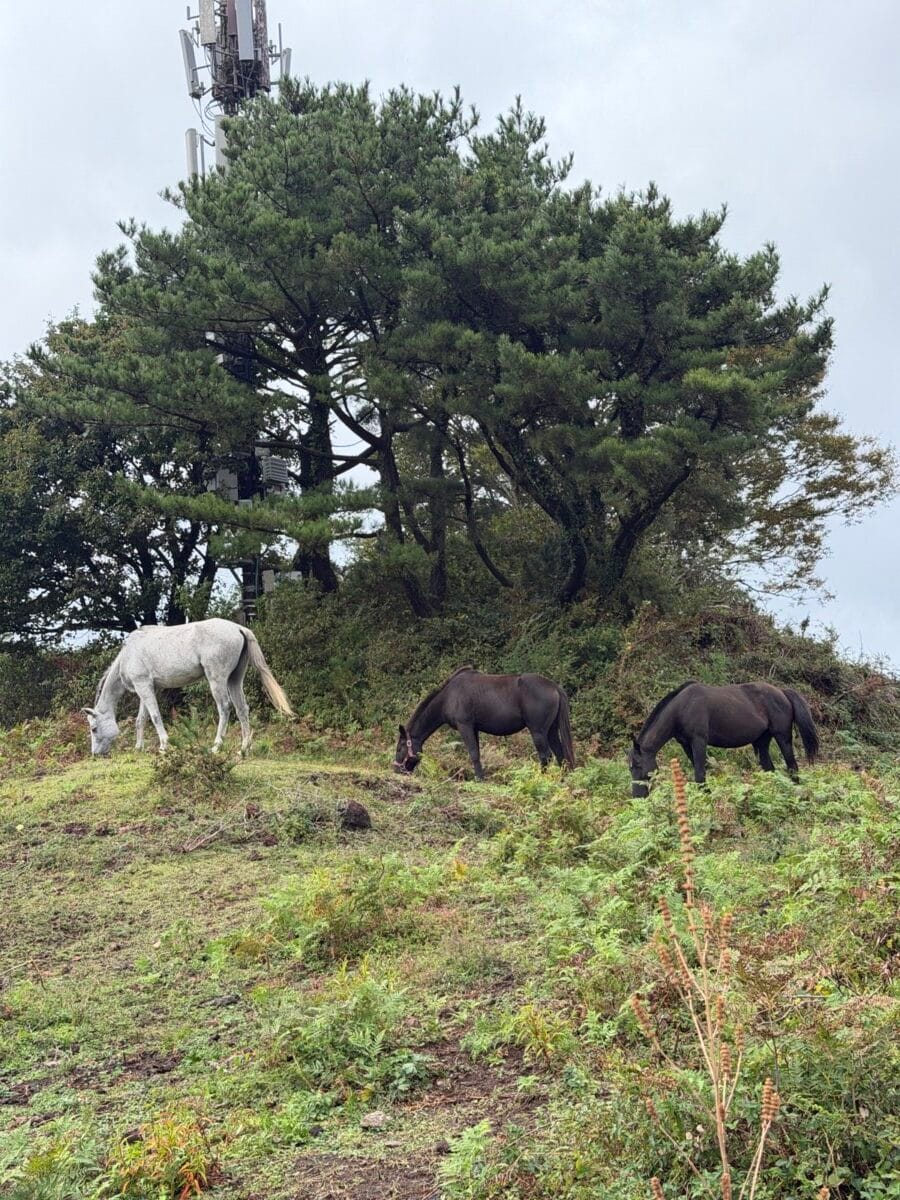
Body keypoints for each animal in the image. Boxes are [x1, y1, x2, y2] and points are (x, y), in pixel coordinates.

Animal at [81, 618, 294, 756]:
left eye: (93, 728)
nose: (95, 754)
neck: (129, 653)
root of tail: (238, 628)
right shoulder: (147, 688)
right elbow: (141, 719)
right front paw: (138, 748)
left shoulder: (144, 686)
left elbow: (155, 716)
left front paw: (163, 746)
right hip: (235, 680)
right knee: (242, 709)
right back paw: (244, 748)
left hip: (217, 680)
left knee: (225, 708)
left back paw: (216, 747)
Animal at [393, 666, 575, 780]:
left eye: (400, 747)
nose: (396, 769)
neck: (448, 697)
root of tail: (554, 687)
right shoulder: (474, 729)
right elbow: (478, 753)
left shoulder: (465, 726)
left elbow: (473, 753)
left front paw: (479, 779)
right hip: (551, 731)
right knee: (561, 755)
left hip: (538, 731)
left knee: (546, 756)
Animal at [628, 680, 819, 797]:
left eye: (637, 765)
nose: (638, 796)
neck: (682, 708)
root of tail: (782, 692)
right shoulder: (686, 744)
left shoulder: (699, 741)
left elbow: (700, 773)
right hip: (761, 741)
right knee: (770, 769)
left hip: (782, 737)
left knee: (792, 766)